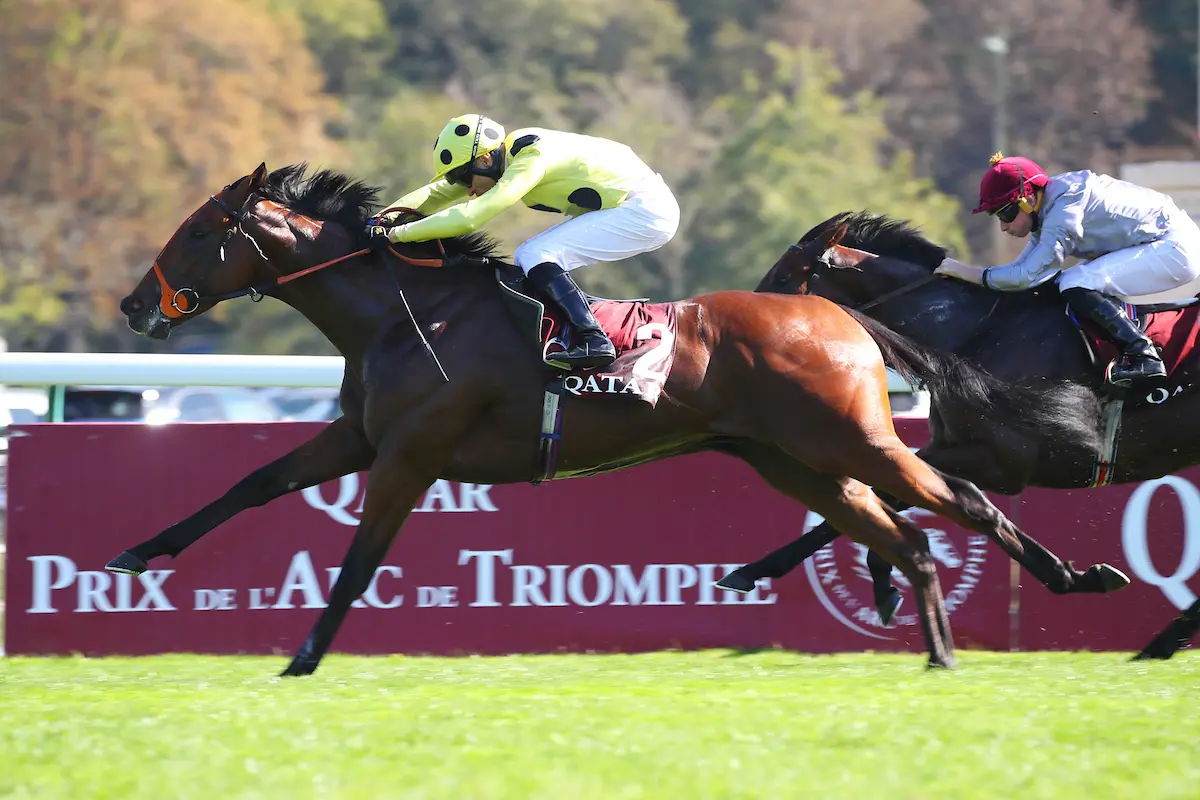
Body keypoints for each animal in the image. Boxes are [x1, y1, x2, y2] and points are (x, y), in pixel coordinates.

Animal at [108, 163, 1080, 674]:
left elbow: (357, 563)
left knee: (960, 499)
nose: (133, 306)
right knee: (904, 536)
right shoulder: (360, 436)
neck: (403, 311)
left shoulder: (410, 454)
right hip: (795, 461)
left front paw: (304, 657)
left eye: (198, 234)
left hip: (854, 441)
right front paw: (136, 554)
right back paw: (942, 646)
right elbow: (250, 482)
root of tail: (837, 315)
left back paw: (1070, 582)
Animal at [716, 210, 1199, 659]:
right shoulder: (955, 448)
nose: (739, 328)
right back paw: (1160, 644)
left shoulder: (1010, 460)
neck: (977, 332)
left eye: (783, 276)